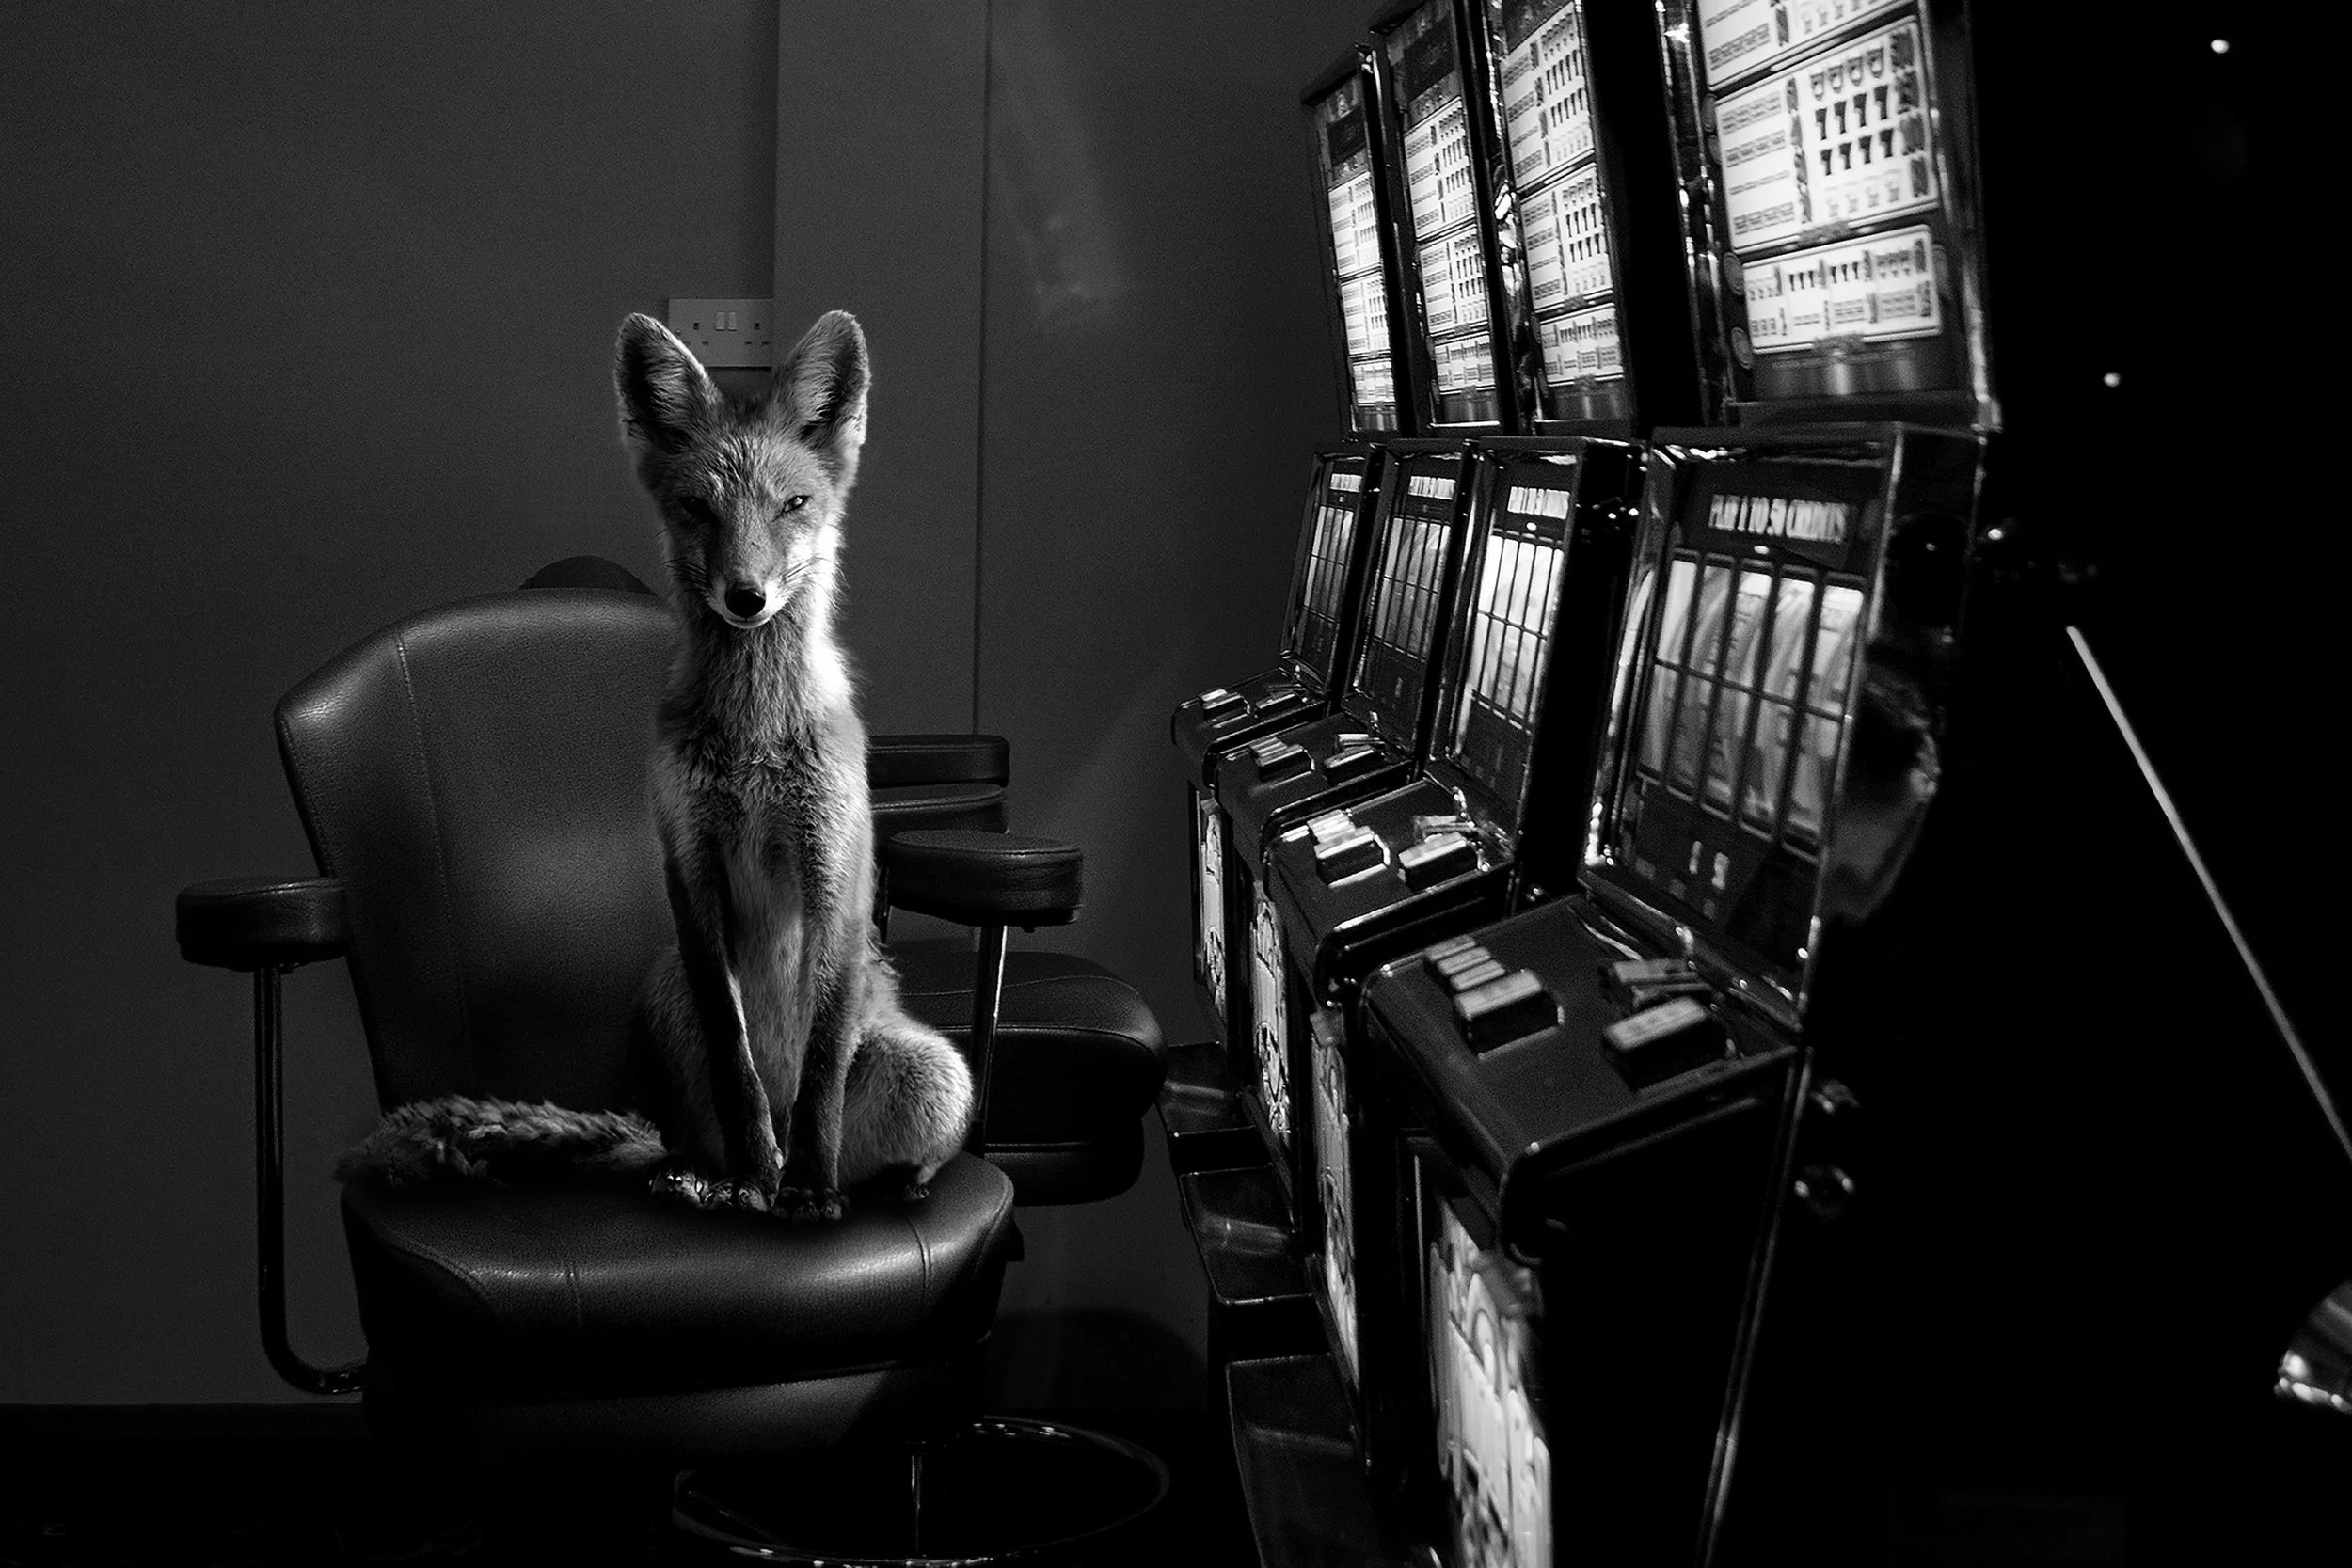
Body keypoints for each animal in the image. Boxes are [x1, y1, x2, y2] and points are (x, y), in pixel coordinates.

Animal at [335, 310, 972, 1218]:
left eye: (795, 504)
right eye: (698, 507)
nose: (746, 597)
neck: (752, 745)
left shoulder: (834, 871)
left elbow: (821, 1068)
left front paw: (807, 1187)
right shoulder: (690, 865)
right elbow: (734, 1058)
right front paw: (754, 1168)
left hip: (937, 1074)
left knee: (886, 1144)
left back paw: (869, 1180)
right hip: (656, 999)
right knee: (681, 1134)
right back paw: (712, 1178)